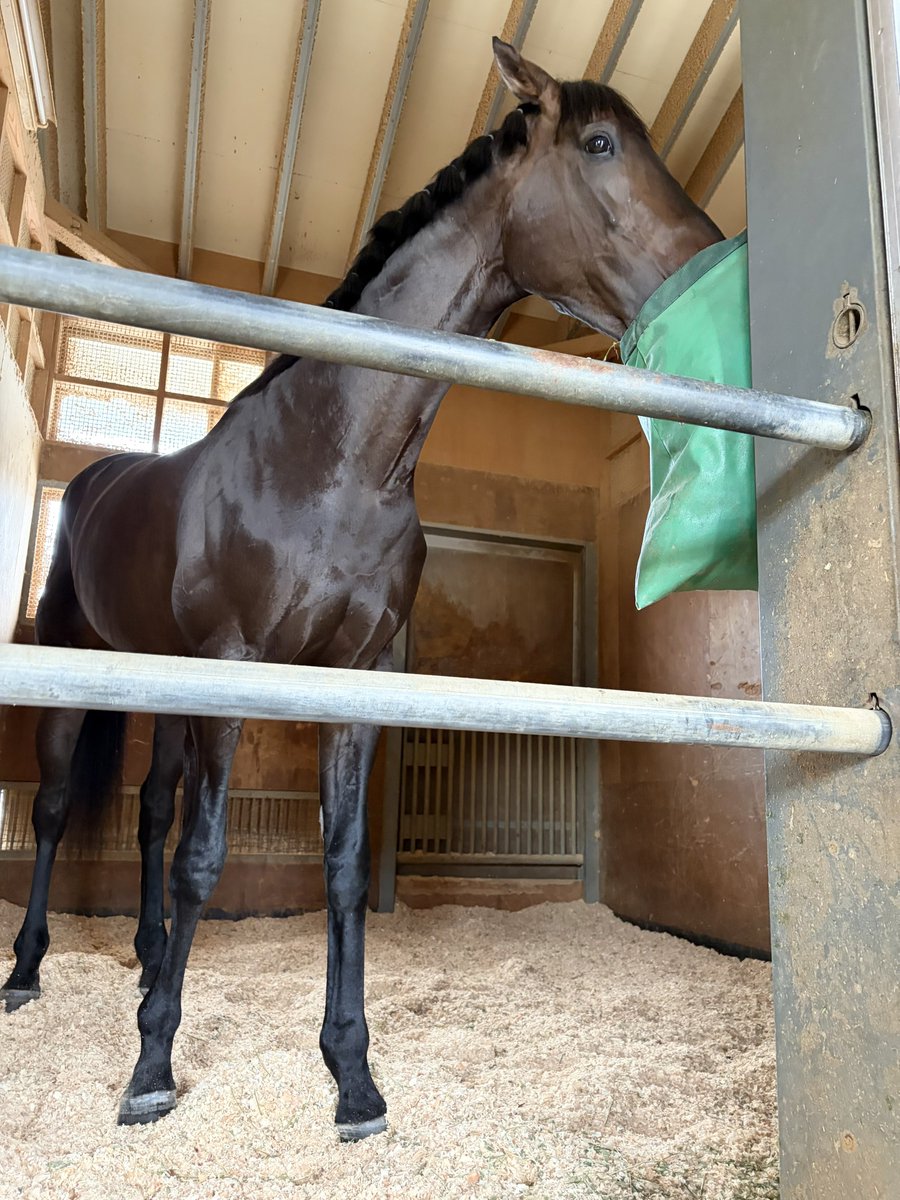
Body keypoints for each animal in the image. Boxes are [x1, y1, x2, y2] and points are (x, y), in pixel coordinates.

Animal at [1, 39, 721, 1138]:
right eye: (600, 144)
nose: (712, 258)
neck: (334, 460)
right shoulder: (237, 671)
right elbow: (206, 856)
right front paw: (152, 1069)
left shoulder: (357, 679)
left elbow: (337, 864)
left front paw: (352, 1076)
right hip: (78, 673)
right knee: (52, 814)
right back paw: (29, 973)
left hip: (167, 691)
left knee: (153, 811)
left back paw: (150, 961)